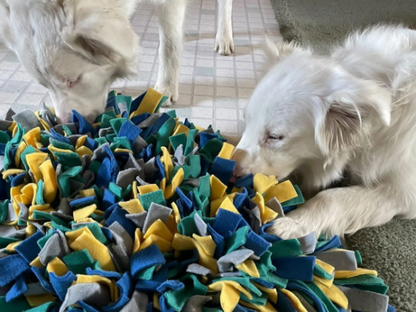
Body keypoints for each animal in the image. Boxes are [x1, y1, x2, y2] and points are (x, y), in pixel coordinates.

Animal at [0, 0, 234, 122]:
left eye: (74, 80)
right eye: (44, 86)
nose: (65, 125)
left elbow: (169, 45)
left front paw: (165, 89)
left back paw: (224, 37)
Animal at [232, 25, 416, 239]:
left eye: (275, 137)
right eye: (246, 122)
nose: (231, 172)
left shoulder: (403, 192)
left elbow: (330, 197)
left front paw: (291, 224)